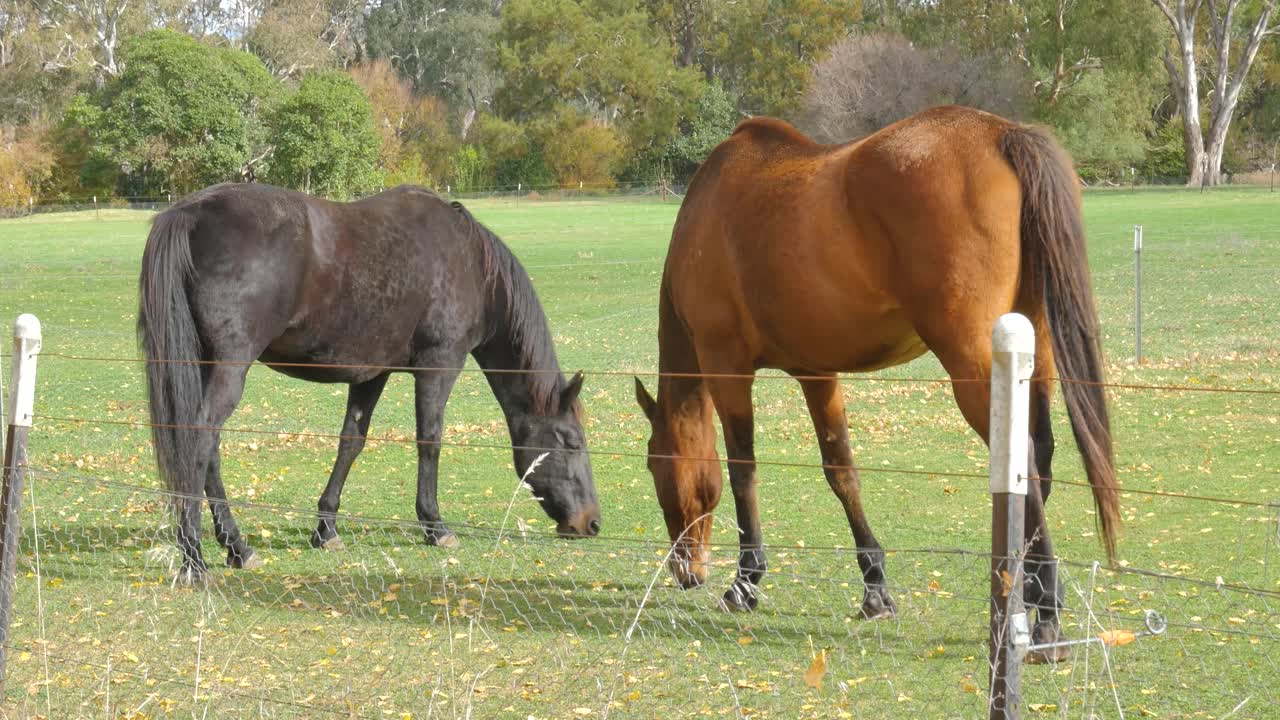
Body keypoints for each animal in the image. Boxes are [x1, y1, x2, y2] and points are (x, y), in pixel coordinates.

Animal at [139, 183, 601, 583]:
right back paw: (195, 557)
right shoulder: (439, 365)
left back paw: (236, 547)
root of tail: (191, 212)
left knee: (208, 450)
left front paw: (326, 528)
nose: (591, 522)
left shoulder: (372, 373)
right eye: (572, 442)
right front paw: (435, 525)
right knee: (199, 440)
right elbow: (430, 440)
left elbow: (351, 442)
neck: (470, 263)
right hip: (230, 368)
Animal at [633, 105, 1120, 663]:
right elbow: (841, 471)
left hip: (974, 367)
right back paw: (1025, 599)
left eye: (656, 466)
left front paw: (746, 581)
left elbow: (743, 472)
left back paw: (1046, 620)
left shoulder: (726, 367)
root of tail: (1000, 132)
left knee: (1027, 471)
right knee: (1041, 458)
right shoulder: (816, 372)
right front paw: (875, 588)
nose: (685, 572)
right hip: (1034, 353)